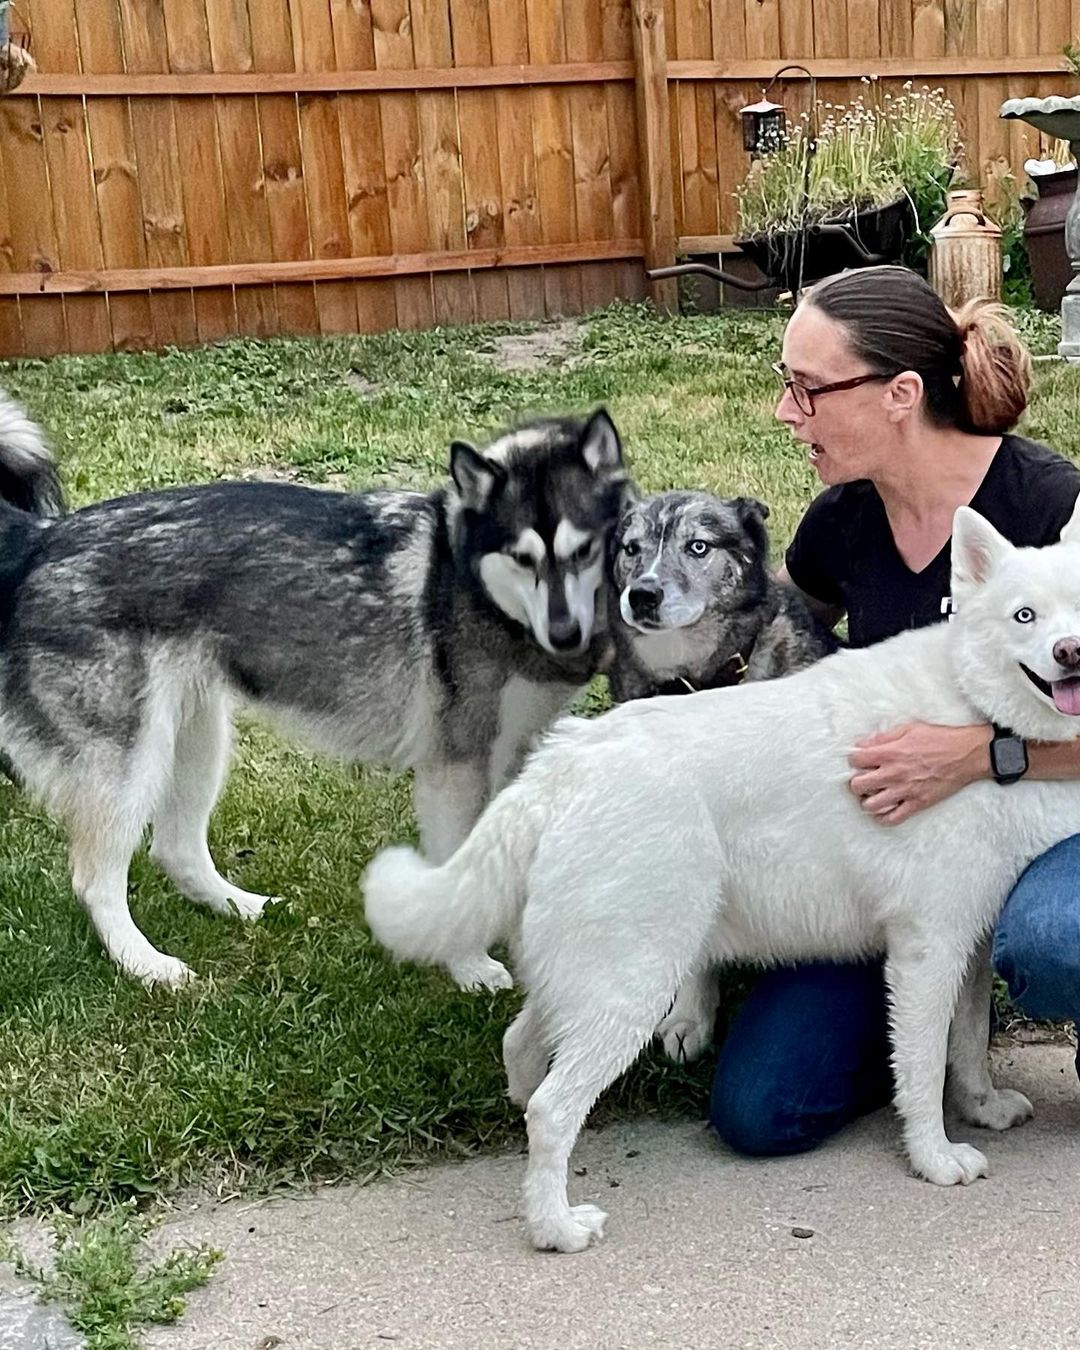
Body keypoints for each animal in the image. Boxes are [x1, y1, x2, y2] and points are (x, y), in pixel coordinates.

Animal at [0, 405, 623, 988]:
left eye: (585, 551)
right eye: (523, 558)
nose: (565, 633)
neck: (466, 578)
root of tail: (43, 539)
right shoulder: (455, 770)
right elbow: (461, 876)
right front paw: (470, 965)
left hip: (197, 738)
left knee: (175, 850)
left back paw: (240, 907)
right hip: (131, 764)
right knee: (95, 880)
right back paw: (145, 964)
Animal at [361, 504, 1080, 1252]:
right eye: (1025, 615)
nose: (1071, 652)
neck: (980, 715)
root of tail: (559, 771)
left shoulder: (970, 946)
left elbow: (965, 1048)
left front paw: (982, 1107)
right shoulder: (926, 954)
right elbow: (921, 1066)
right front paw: (935, 1157)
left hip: (588, 978)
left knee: (524, 1055)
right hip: (632, 984)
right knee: (553, 1111)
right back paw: (556, 1226)